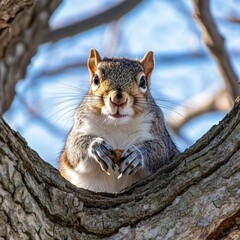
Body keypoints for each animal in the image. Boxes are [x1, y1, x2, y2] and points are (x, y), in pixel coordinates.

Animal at [59, 49, 179, 193]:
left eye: (143, 82)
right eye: (96, 79)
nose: (118, 99)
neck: (117, 125)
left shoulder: (157, 129)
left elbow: (160, 150)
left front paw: (137, 155)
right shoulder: (81, 124)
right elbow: (74, 147)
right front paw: (96, 146)